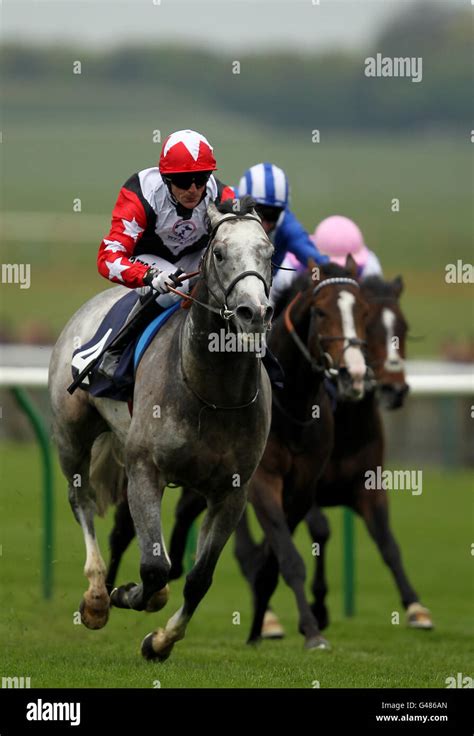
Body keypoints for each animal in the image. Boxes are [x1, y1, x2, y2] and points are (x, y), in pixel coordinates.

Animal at [48, 200, 274, 660]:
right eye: (219, 253)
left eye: (270, 252)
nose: (255, 313)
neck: (212, 392)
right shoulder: (145, 470)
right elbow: (154, 568)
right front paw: (124, 595)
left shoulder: (231, 492)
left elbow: (197, 578)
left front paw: (160, 640)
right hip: (72, 437)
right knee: (82, 500)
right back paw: (97, 596)